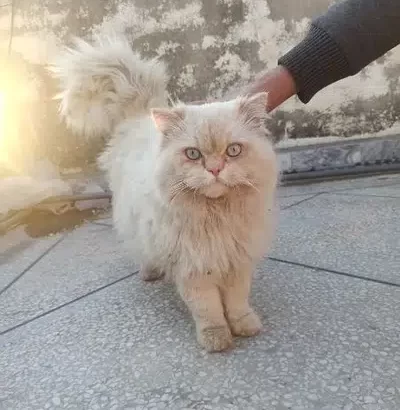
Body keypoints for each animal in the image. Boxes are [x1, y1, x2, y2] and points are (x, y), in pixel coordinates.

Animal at [50, 35, 278, 352]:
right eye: (193, 154)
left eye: (233, 150)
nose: (215, 169)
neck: (216, 217)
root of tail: (137, 117)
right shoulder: (193, 268)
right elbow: (209, 309)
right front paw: (216, 339)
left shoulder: (238, 261)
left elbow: (236, 302)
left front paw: (246, 326)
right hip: (135, 226)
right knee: (142, 251)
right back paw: (150, 273)